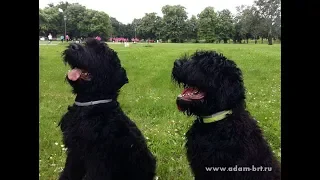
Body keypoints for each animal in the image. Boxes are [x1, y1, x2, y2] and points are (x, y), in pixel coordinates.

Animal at [58, 38, 158, 179]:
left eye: (99, 52)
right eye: (86, 43)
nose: (73, 46)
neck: (89, 105)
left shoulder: (98, 159)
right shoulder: (75, 152)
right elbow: (68, 172)